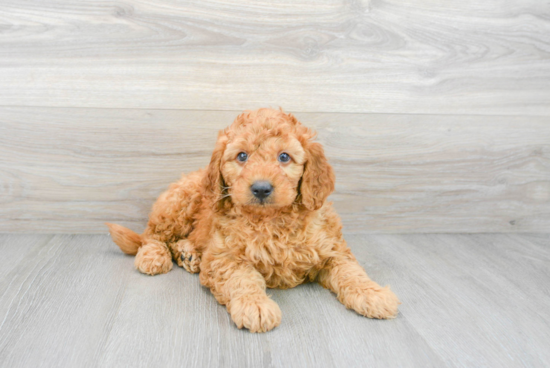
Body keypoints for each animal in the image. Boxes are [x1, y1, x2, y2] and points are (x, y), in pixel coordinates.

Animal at [108, 108, 402, 332]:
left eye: (284, 157)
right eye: (242, 156)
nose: (261, 188)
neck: (271, 220)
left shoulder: (332, 248)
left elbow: (351, 271)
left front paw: (373, 294)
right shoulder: (225, 258)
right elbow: (242, 278)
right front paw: (255, 305)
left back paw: (188, 253)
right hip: (178, 202)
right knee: (152, 235)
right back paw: (154, 256)